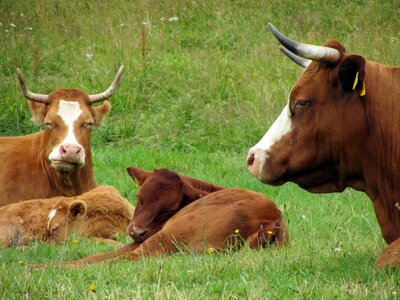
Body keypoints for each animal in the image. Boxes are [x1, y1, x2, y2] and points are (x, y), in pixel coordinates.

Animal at [33, 168, 288, 268]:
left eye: (168, 209)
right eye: (139, 197)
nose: (136, 230)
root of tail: (271, 217)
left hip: (166, 238)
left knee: (123, 260)